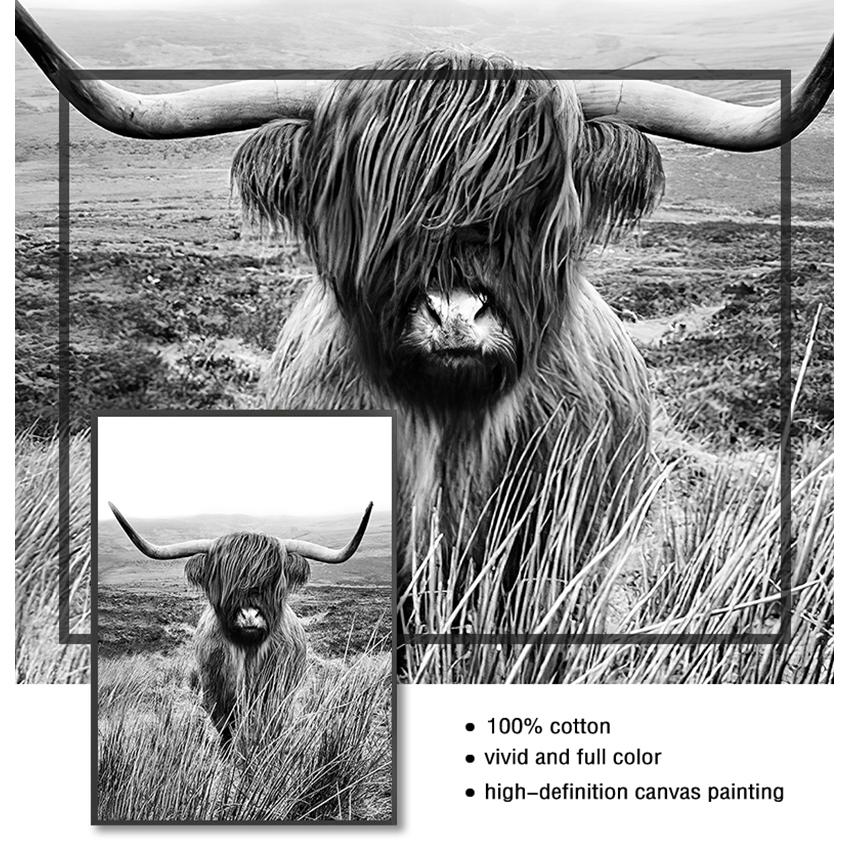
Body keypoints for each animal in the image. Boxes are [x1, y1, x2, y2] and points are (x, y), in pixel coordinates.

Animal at [107, 501, 373, 746]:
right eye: (225, 580)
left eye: (274, 581)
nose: (249, 615)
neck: (247, 653)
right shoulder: (216, 698)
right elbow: (226, 734)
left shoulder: (276, 697)